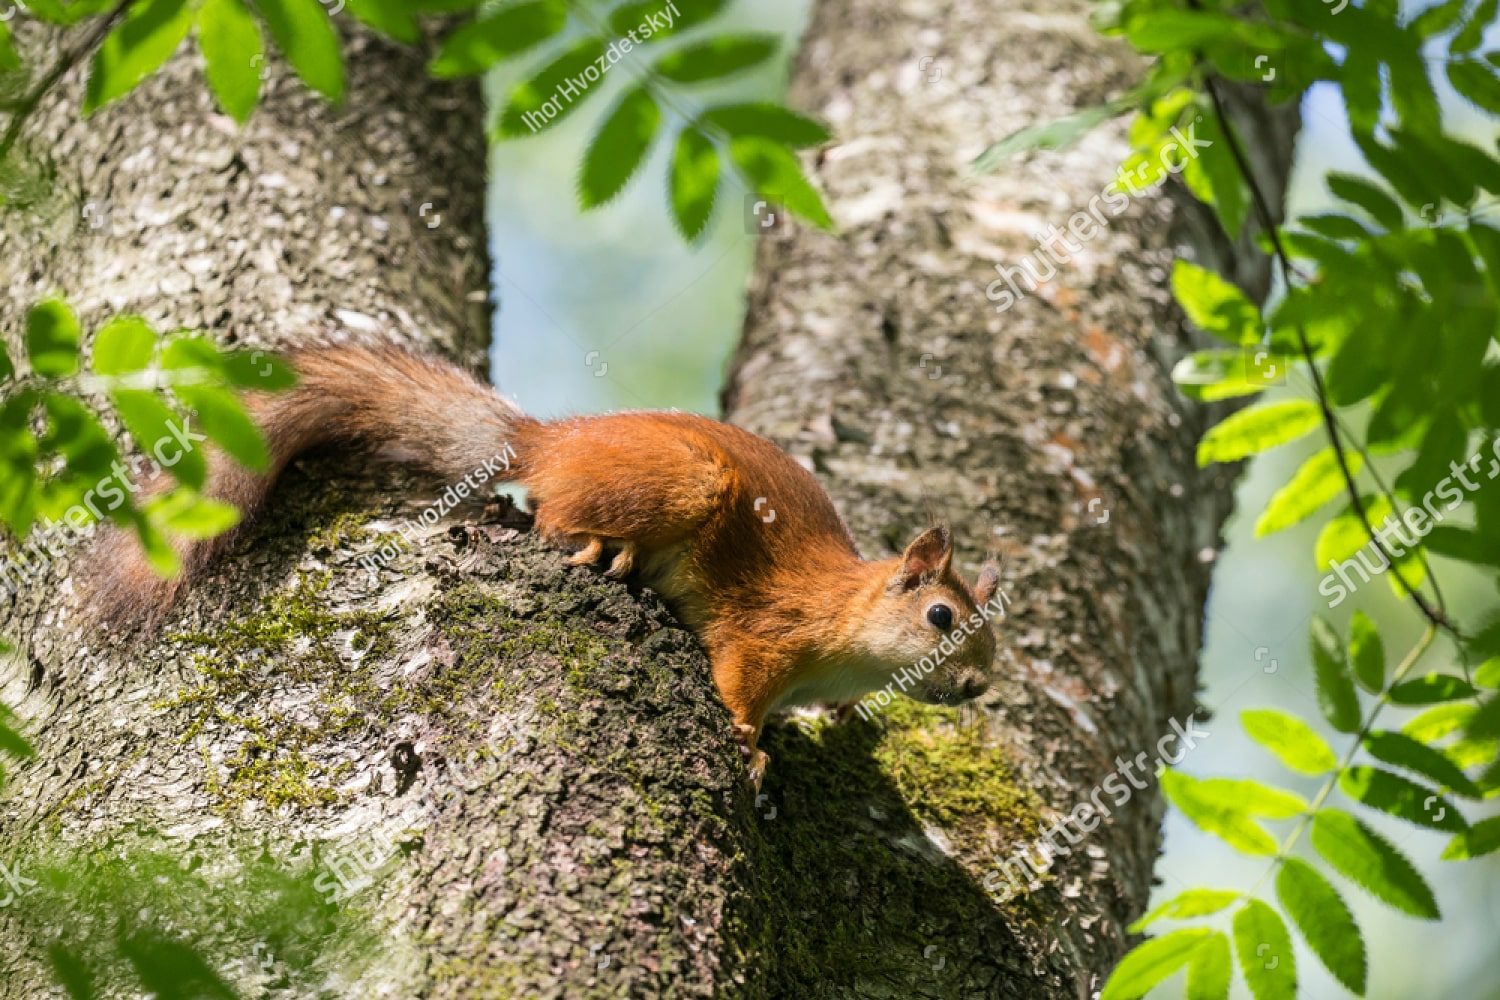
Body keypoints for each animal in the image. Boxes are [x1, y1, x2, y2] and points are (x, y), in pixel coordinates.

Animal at [87, 345, 1001, 788]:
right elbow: (742, 683)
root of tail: (550, 440)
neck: (844, 624)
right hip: (681, 484)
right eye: (941, 618)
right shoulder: (767, 631)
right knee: (557, 512)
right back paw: (600, 544)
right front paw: (751, 745)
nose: (978, 689)